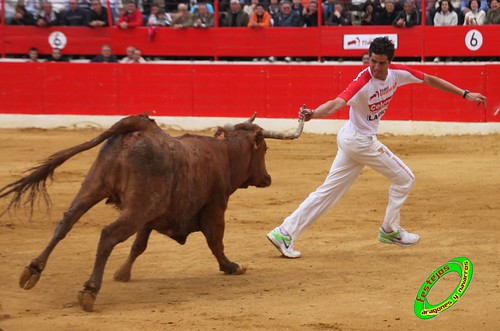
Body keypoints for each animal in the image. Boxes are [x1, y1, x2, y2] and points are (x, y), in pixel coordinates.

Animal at [0, 113, 304, 312]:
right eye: (265, 149)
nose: (267, 178)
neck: (225, 154)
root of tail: (140, 127)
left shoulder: (152, 214)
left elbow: (139, 245)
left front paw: (122, 273)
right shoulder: (215, 207)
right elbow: (215, 241)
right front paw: (231, 266)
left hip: (94, 188)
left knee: (66, 222)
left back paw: (32, 271)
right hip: (134, 207)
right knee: (108, 235)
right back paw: (89, 290)